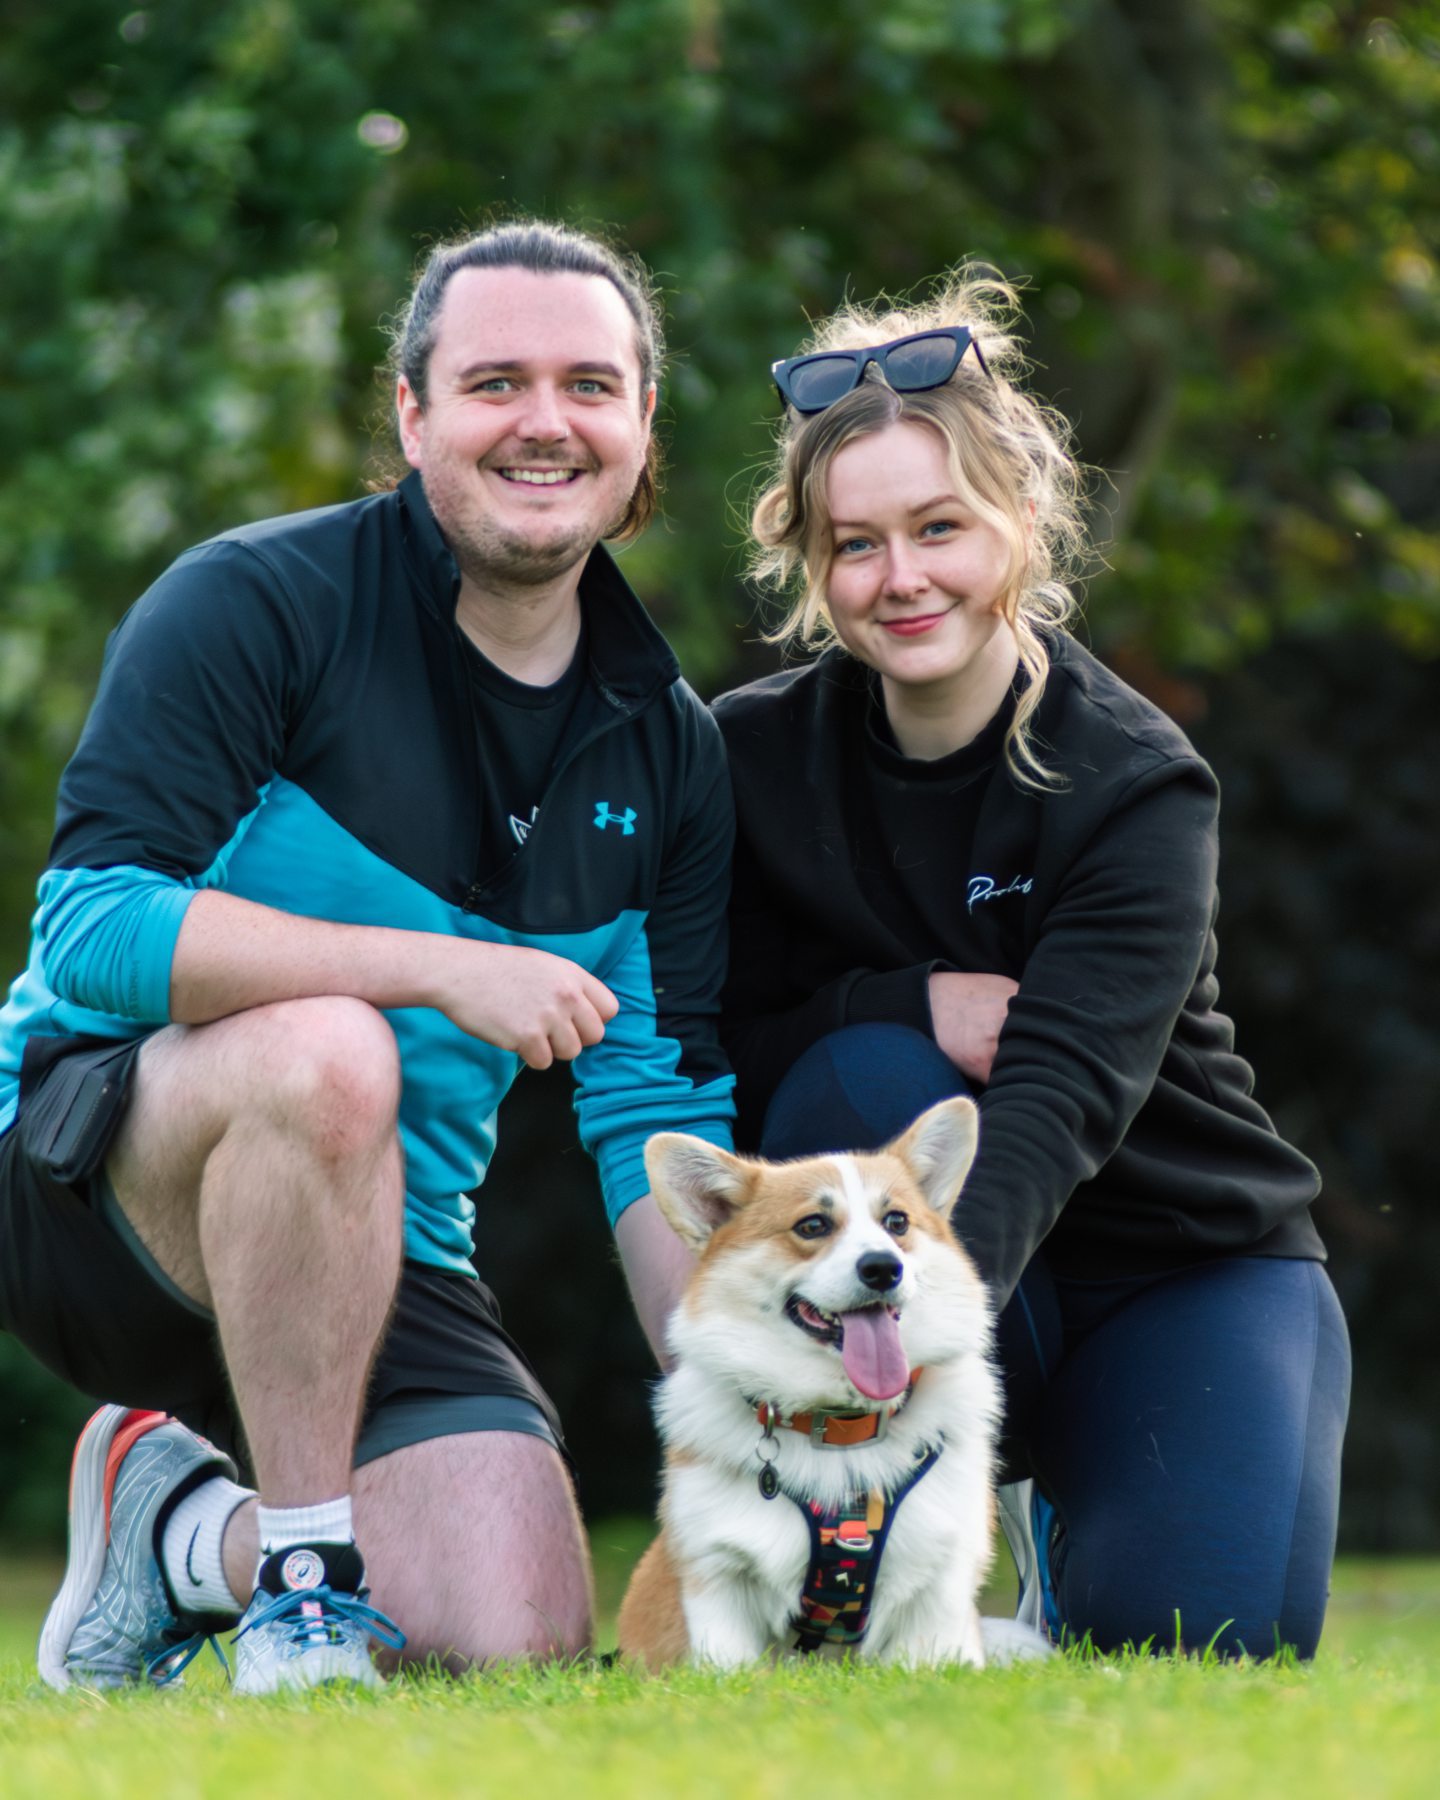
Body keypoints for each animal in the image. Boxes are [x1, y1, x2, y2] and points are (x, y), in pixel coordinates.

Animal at [615, 1094, 1000, 1670]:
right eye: (813, 1226)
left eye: (897, 1221)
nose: (883, 1268)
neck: (841, 1426)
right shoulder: (717, 1575)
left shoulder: (939, 1584)